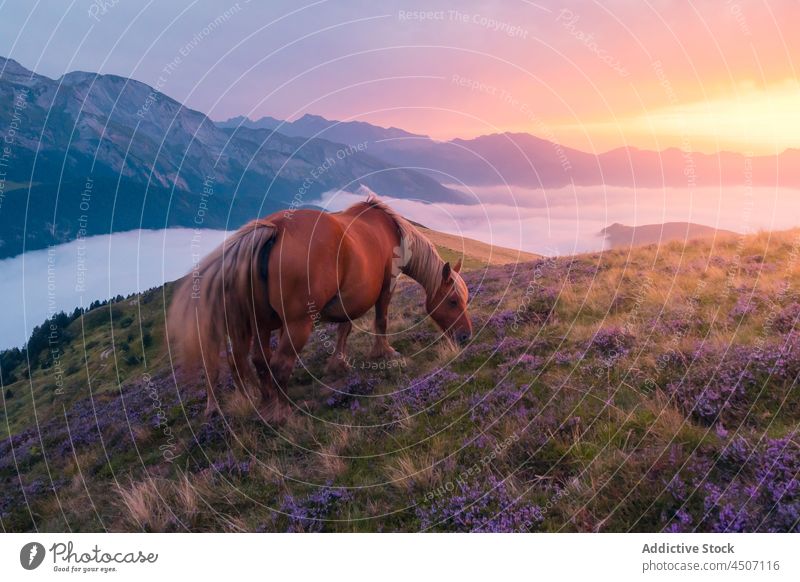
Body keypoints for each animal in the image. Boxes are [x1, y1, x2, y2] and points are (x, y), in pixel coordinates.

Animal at [166, 195, 472, 420]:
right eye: (453, 301)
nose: (466, 336)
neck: (390, 230)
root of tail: (274, 229)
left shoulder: (349, 299)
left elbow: (345, 329)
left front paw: (338, 363)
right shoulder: (385, 288)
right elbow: (380, 321)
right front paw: (383, 352)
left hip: (260, 324)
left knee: (259, 362)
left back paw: (266, 404)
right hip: (296, 324)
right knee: (278, 365)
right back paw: (285, 413)